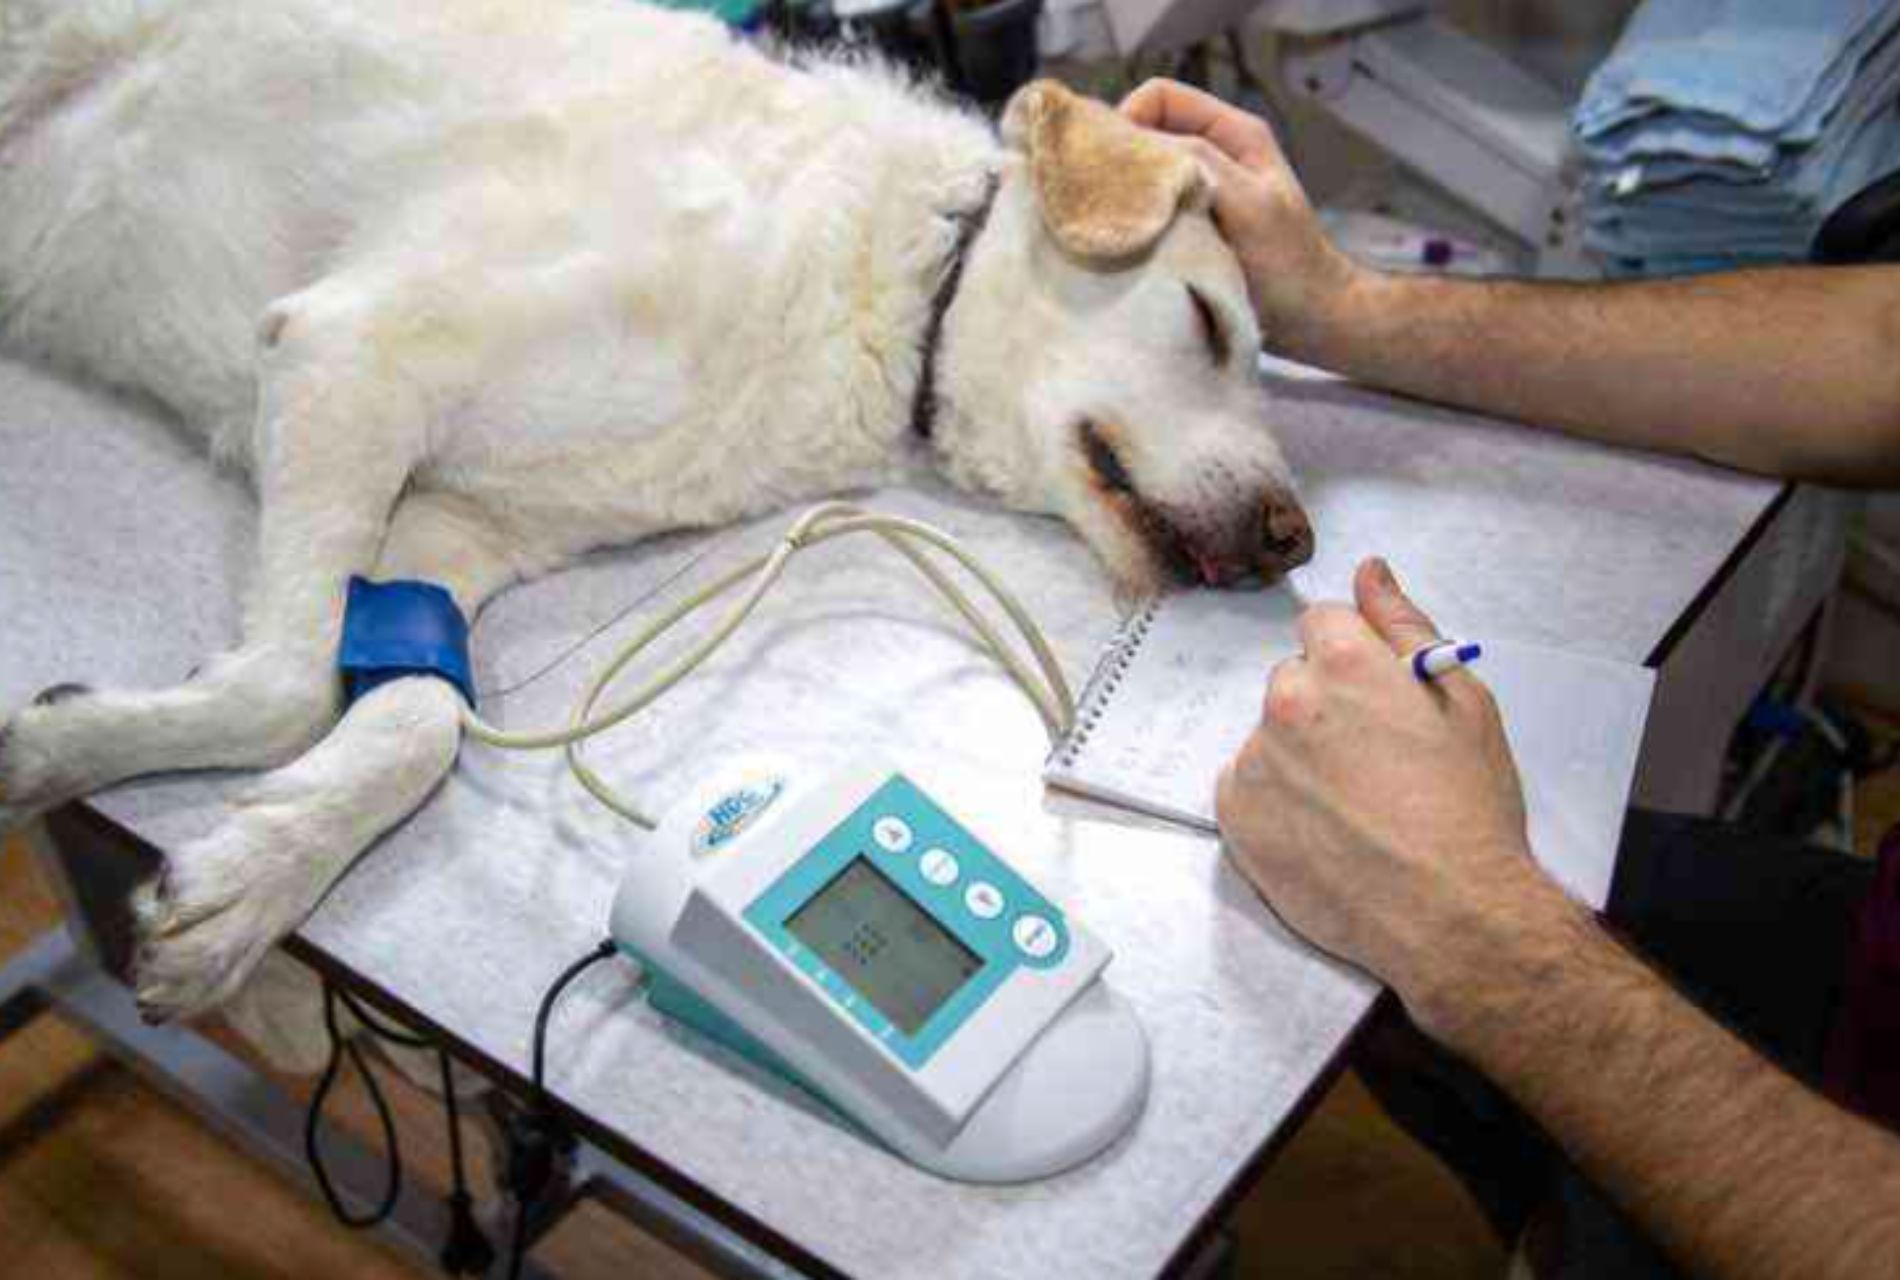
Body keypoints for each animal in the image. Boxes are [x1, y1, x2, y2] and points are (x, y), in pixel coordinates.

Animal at [0, 0, 1307, 1017]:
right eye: (1207, 323)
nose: (1295, 541)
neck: (889, 288)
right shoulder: (352, 349)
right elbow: (285, 685)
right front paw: (63, 754)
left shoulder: (450, 530)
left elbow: (412, 719)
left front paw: (249, 874)